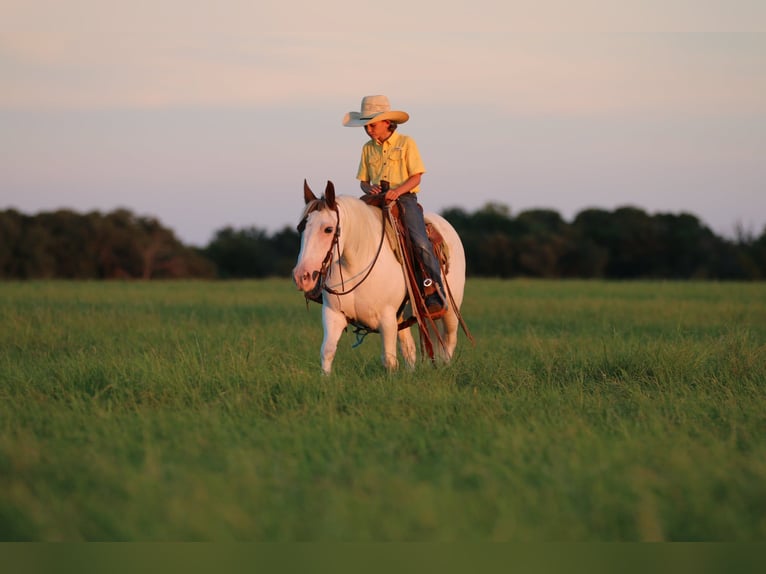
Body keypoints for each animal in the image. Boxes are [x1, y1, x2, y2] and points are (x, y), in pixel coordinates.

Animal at [293, 180, 467, 374]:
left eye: (328, 229)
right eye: (300, 228)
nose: (302, 276)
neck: (356, 263)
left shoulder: (387, 318)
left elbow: (389, 360)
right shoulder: (333, 314)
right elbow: (327, 352)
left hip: (450, 312)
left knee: (448, 346)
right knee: (410, 349)